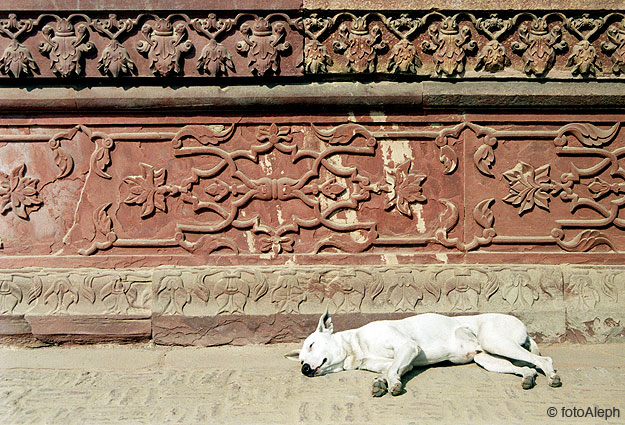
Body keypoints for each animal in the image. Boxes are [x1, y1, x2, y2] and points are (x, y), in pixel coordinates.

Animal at [286, 310, 560, 396]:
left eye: (311, 345)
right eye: (300, 361)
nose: (304, 368)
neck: (356, 347)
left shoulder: (408, 348)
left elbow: (393, 369)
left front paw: (392, 385)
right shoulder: (402, 362)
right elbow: (391, 370)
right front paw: (382, 383)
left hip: (496, 342)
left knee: (542, 359)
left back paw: (552, 376)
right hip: (488, 359)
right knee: (525, 367)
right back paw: (528, 378)